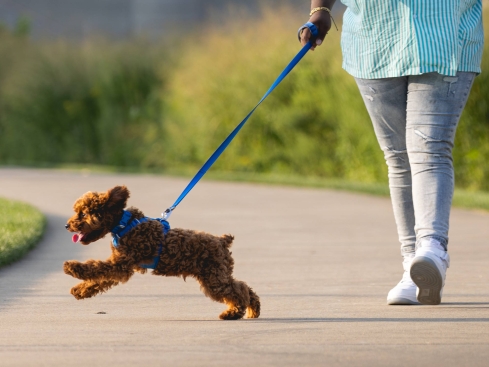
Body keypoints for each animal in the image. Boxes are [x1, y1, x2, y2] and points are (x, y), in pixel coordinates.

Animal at [63, 185, 260, 320]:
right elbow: (99, 279)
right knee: (244, 288)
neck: (124, 225)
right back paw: (252, 310)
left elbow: (96, 268)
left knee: (239, 290)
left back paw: (233, 313)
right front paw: (80, 290)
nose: (66, 225)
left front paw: (72, 267)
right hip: (217, 274)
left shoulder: (121, 264)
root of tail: (222, 240)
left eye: (82, 214)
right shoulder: (120, 266)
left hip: (214, 278)